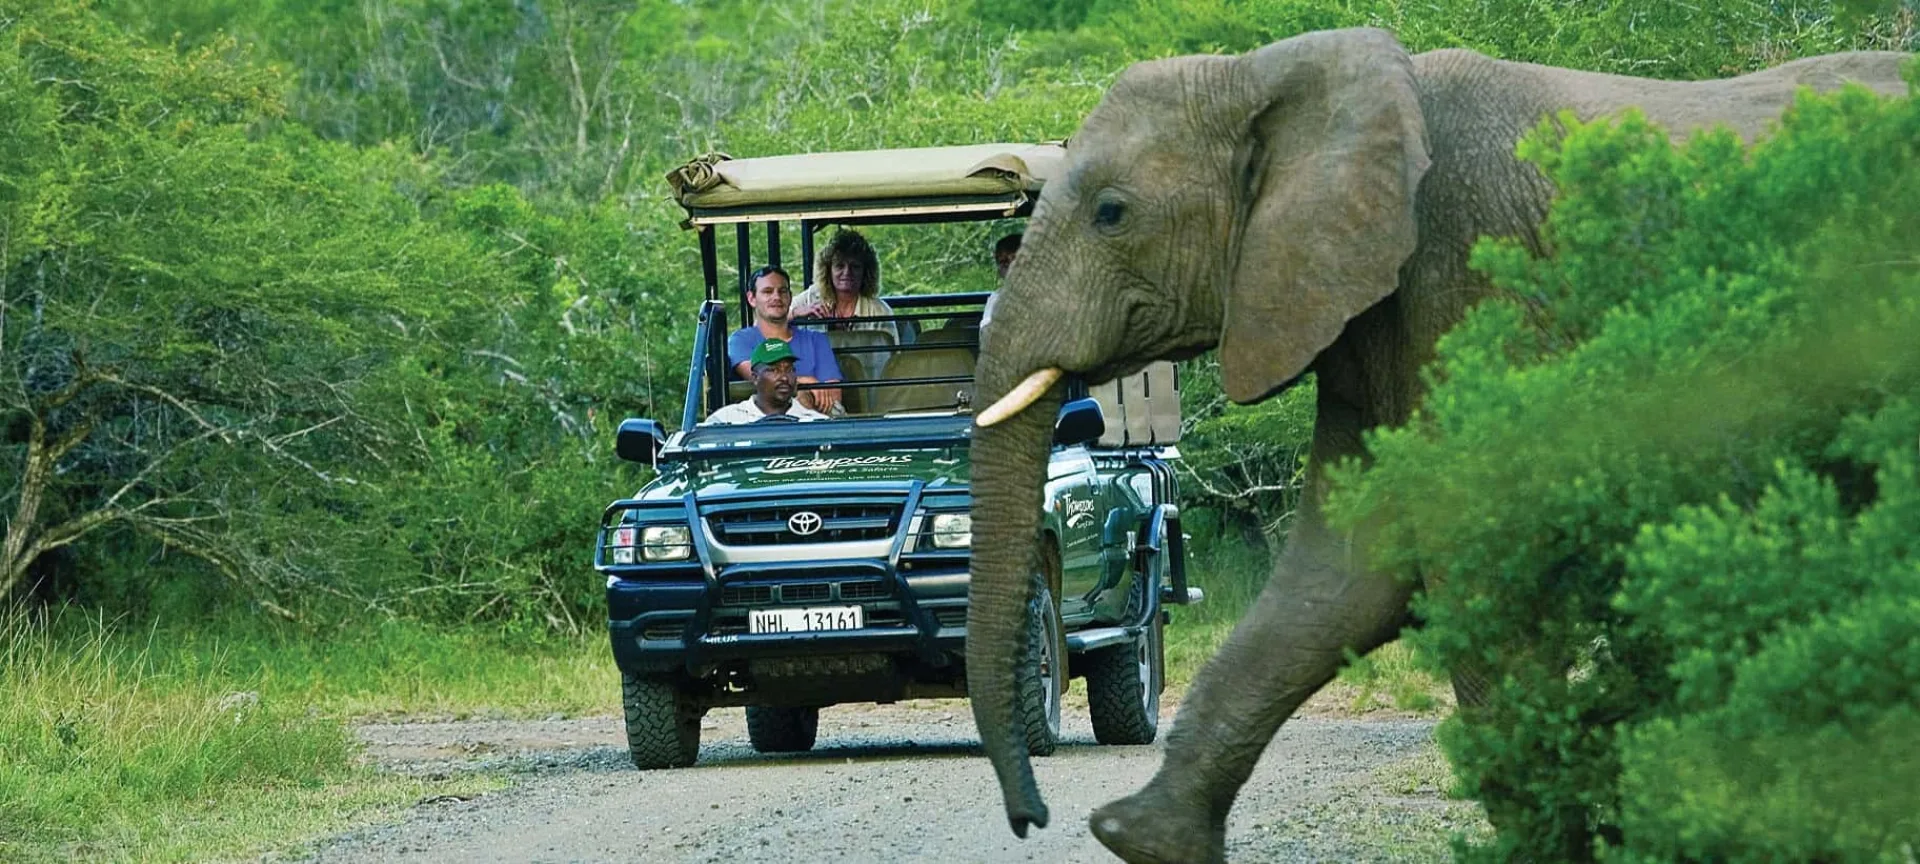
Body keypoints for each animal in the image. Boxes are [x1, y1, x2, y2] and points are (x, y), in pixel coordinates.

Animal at [962, 27, 1911, 864]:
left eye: (1112, 214)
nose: (1029, 819)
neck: (1277, 76)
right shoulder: (1362, 316)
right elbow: (1340, 580)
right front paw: (1141, 840)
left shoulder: (1474, 276)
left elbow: (1479, 561)